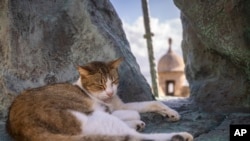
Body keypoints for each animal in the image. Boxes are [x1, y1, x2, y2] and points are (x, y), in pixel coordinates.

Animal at [6, 57, 193, 140]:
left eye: (114, 81)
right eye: (100, 85)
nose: (110, 92)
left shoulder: (120, 105)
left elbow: (152, 102)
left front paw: (170, 112)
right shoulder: (108, 110)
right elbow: (135, 113)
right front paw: (136, 121)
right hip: (91, 117)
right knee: (135, 137)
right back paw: (182, 136)